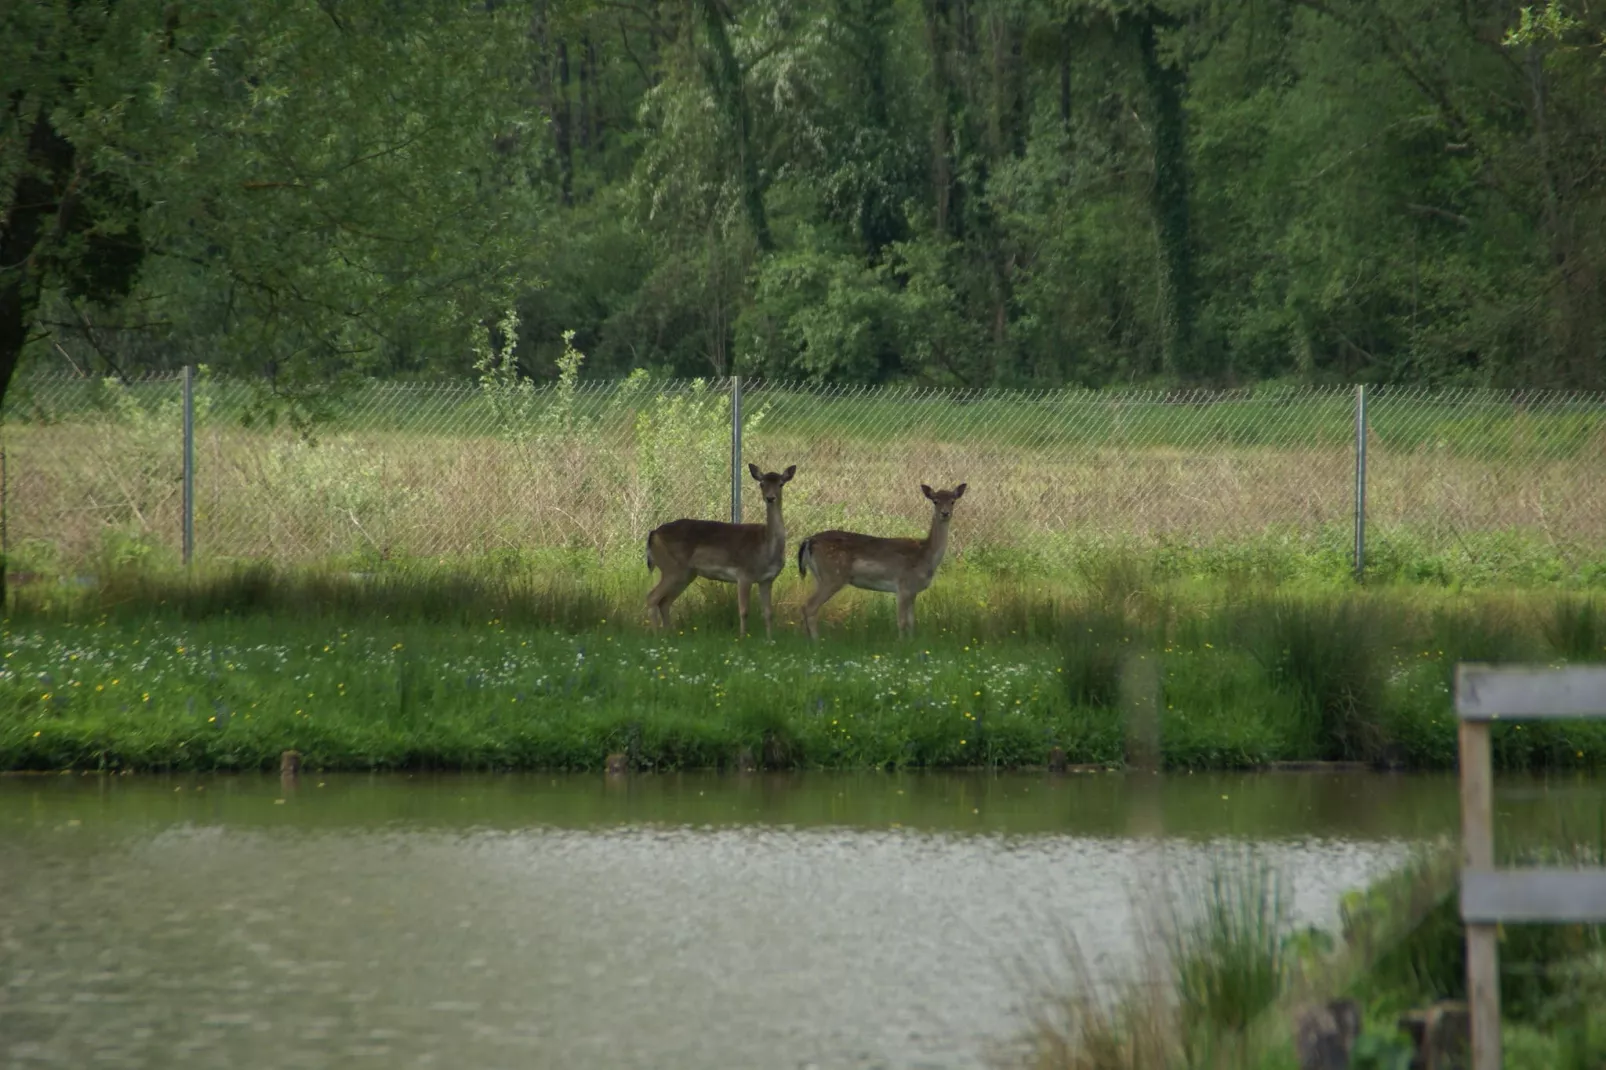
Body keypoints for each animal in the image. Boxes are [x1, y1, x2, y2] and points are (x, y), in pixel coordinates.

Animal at [635, 459, 793, 642]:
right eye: (761, 483)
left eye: (781, 484)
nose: (770, 498)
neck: (766, 548)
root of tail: (653, 534)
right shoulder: (744, 574)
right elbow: (744, 611)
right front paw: (742, 638)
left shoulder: (767, 579)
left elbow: (768, 613)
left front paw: (770, 641)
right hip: (671, 567)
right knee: (652, 597)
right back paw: (657, 637)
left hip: (686, 573)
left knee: (665, 601)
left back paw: (670, 634)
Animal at [793, 478, 963, 636]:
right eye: (935, 501)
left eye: (953, 501)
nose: (945, 513)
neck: (926, 555)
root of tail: (808, 541)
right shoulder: (903, 585)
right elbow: (902, 622)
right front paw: (901, 644)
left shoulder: (913, 590)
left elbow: (911, 622)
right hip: (832, 576)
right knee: (809, 607)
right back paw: (816, 642)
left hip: (819, 577)